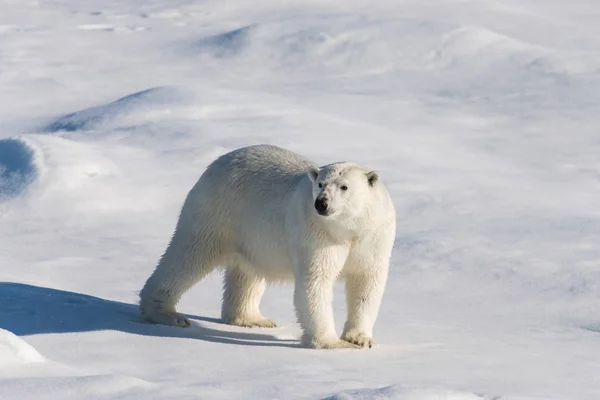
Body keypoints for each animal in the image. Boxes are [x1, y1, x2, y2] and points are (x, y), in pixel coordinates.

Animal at [138, 145, 396, 348]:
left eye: (344, 187)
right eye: (321, 183)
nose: (321, 203)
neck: (347, 230)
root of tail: (217, 163)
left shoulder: (374, 236)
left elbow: (366, 282)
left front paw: (360, 339)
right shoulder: (317, 234)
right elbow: (316, 281)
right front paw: (333, 343)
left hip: (251, 235)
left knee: (247, 273)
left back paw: (252, 318)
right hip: (217, 212)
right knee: (188, 255)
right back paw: (167, 314)